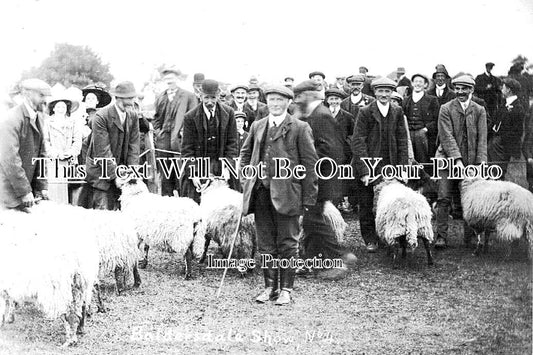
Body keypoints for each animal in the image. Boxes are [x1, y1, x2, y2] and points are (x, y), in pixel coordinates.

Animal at [0, 209, 100, 348]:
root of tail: (78, 256)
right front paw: (9, 318)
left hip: (60, 289)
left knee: (69, 315)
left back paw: (70, 340)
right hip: (81, 285)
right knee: (82, 308)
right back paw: (80, 329)